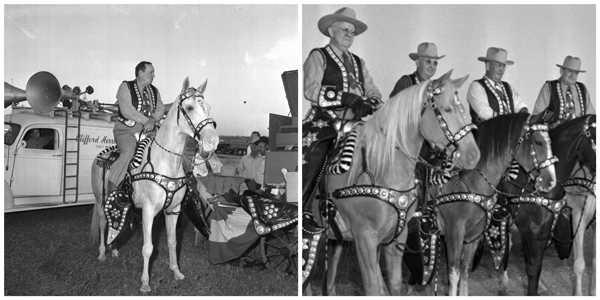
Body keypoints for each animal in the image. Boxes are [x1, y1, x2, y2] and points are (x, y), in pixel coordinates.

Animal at [90, 78, 219, 292]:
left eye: (207, 107)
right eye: (190, 107)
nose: (212, 141)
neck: (165, 163)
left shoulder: (173, 210)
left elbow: (173, 242)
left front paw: (176, 272)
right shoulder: (149, 211)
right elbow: (148, 248)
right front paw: (145, 283)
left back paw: (114, 250)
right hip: (101, 199)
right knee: (102, 222)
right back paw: (102, 253)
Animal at [316, 70, 480, 296]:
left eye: (463, 109)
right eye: (447, 109)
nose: (473, 155)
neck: (382, 169)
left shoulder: (396, 238)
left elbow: (393, 285)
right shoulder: (364, 238)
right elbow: (373, 288)